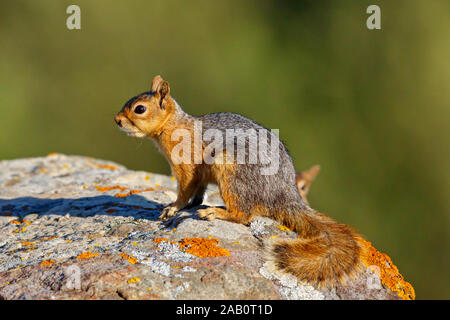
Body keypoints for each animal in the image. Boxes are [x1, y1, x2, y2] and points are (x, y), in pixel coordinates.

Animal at [115, 75, 366, 288]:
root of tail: (284, 196)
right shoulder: (199, 175)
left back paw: (216, 212)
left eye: (140, 109)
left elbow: (185, 190)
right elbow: (198, 191)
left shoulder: (186, 166)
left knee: (244, 215)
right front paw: (189, 204)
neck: (173, 125)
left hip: (231, 170)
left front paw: (173, 208)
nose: (116, 120)